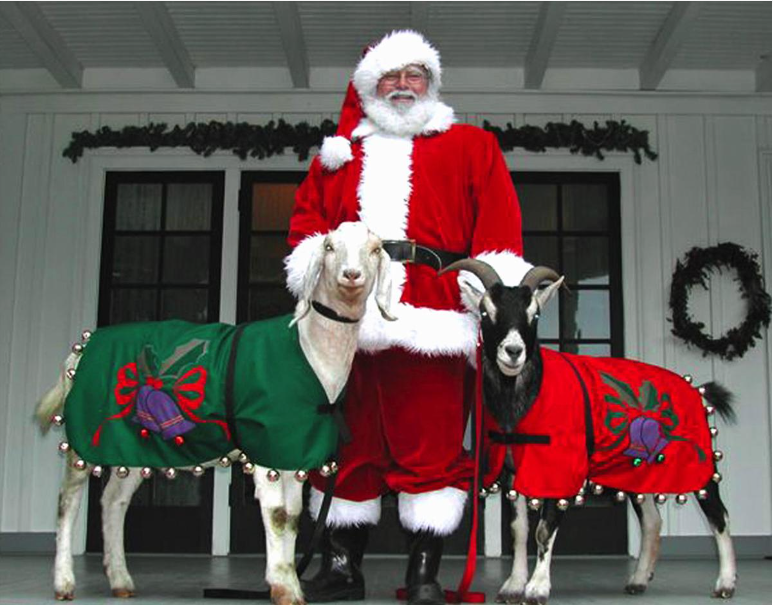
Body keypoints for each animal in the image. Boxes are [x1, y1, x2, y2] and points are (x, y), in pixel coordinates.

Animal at [35, 223, 392, 604]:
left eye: (374, 249)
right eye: (329, 247)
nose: (351, 275)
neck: (310, 351)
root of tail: (82, 348)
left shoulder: (292, 449)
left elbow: (294, 517)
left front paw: (285, 582)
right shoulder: (265, 446)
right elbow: (278, 516)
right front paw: (286, 587)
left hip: (130, 443)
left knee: (114, 501)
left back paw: (120, 580)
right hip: (84, 436)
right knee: (67, 502)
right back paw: (64, 582)